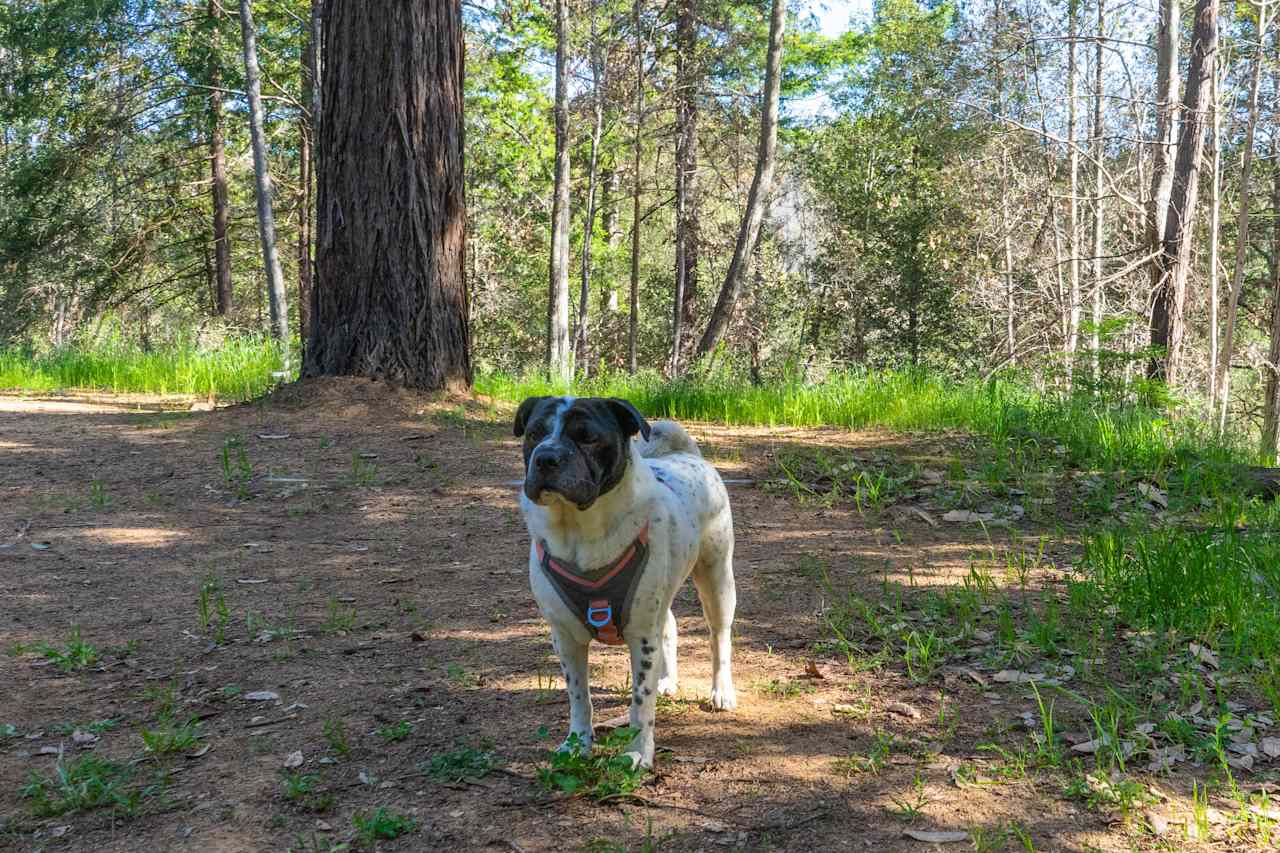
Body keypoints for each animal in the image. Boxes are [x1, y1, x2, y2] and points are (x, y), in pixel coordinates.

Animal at [512, 394, 737, 768]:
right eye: (533, 434)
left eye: (587, 436)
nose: (546, 457)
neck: (580, 533)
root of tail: (688, 455)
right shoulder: (566, 638)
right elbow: (579, 697)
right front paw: (578, 743)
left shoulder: (641, 637)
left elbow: (640, 703)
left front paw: (637, 752)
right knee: (670, 625)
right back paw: (667, 680)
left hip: (717, 579)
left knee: (719, 637)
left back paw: (722, 691)